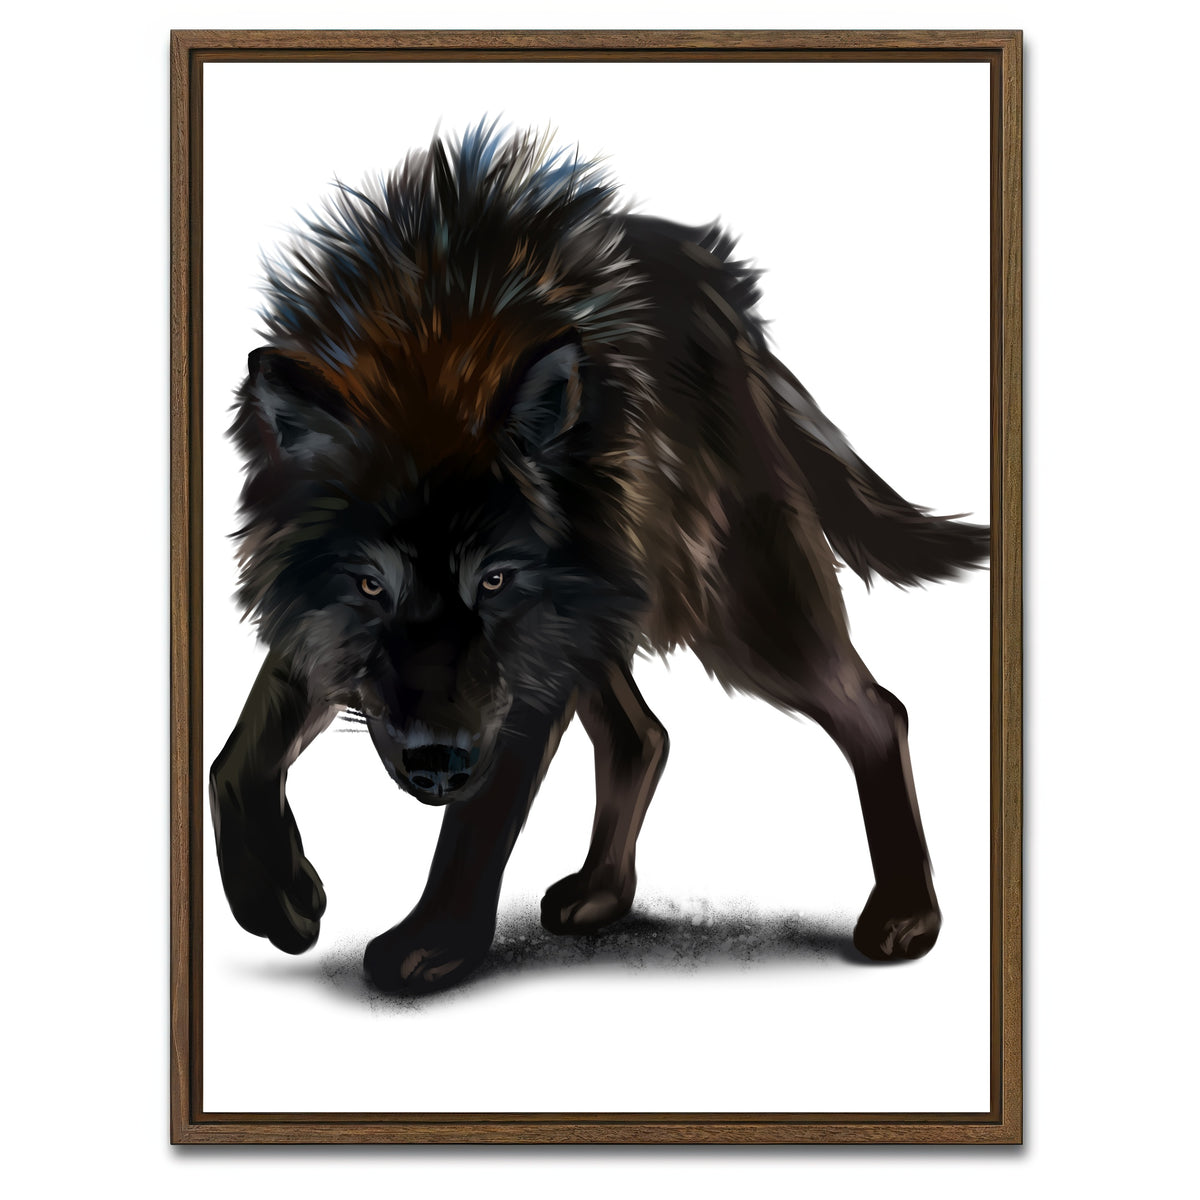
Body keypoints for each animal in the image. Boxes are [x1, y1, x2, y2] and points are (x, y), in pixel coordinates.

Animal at [209, 123, 989, 994]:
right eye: (372, 584)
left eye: (495, 579)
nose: (438, 764)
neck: (434, 342)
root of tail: (725, 298)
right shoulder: (323, 631)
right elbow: (234, 761)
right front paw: (278, 899)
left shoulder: (524, 666)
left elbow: (479, 821)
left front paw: (433, 941)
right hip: (607, 613)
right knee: (642, 737)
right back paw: (601, 895)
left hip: (736, 610)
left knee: (876, 712)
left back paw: (906, 917)